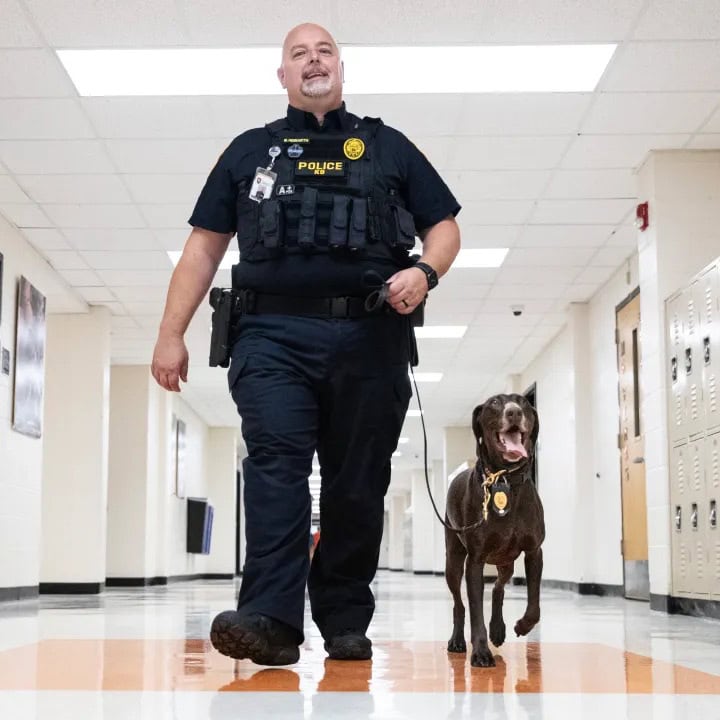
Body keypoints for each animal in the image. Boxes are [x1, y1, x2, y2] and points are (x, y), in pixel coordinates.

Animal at [442, 396, 544, 668]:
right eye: (495, 403)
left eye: (523, 403)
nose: (514, 412)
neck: (505, 480)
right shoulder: (475, 561)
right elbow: (475, 610)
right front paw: (480, 652)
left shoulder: (534, 551)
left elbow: (534, 606)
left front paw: (522, 625)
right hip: (453, 562)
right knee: (459, 605)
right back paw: (457, 640)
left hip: (506, 561)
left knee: (499, 588)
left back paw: (498, 628)